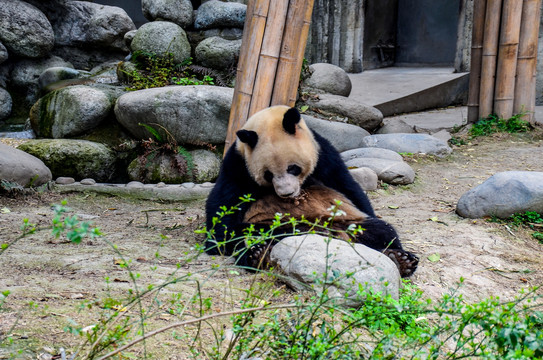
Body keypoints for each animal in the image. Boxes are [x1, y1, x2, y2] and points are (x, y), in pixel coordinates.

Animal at [205, 105, 420, 278]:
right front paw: (217, 241)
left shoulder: (323, 153)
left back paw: (400, 259)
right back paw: (259, 254)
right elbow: (223, 212)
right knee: (248, 235)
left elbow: (347, 186)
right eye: (268, 174)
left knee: (380, 229)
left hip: (348, 223)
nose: (287, 193)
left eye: (293, 168)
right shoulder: (238, 165)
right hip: (269, 226)